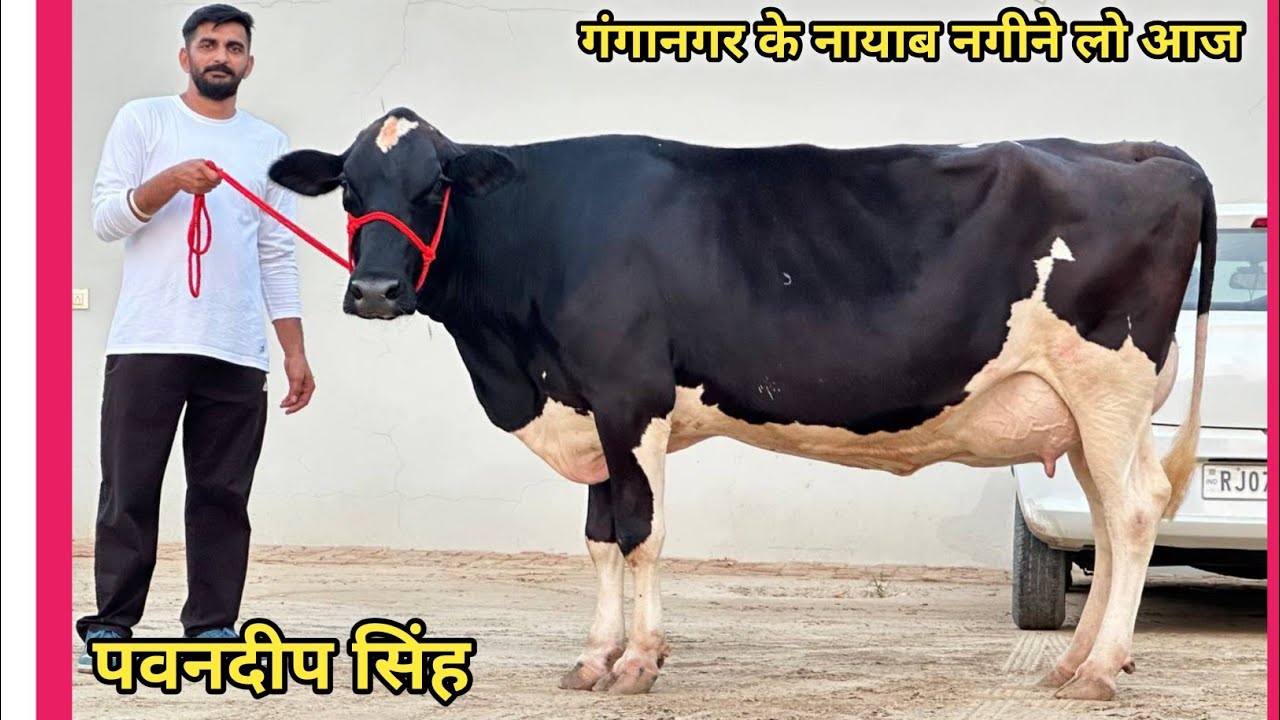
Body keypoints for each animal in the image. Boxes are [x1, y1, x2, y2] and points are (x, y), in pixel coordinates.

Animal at [268, 108, 1214, 701]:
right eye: (349, 187)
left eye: (435, 185)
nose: (376, 291)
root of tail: (1143, 150)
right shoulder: (587, 401)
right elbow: (599, 538)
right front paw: (593, 658)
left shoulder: (629, 394)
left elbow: (640, 534)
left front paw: (638, 664)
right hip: (1090, 416)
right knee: (1109, 515)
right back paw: (1077, 663)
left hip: (1105, 382)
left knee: (1134, 512)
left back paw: (1101, 671)